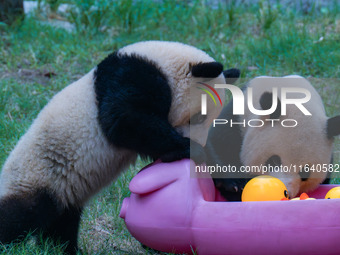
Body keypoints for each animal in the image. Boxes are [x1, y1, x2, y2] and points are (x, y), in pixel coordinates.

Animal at [0, 40, 239, 254]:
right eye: (199, 117)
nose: (199, 142)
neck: (162, 63)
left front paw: (228, 182)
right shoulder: (131, 76)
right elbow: (123, 120)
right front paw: (192, 149)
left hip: (64, 190)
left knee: (61, 224)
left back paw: (62, 249)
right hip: (39, 175)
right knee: (20, 215)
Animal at [205, 75, 340, 201]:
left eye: (305, 173)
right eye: (274, 160)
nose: (286, 192)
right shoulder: (237, 117)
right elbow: (218, 147)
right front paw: (235, 186)